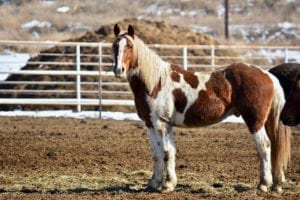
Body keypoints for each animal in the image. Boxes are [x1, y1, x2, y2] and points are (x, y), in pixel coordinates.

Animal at [110, 24, 290, 193]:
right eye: (114, 45)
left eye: (129, 46)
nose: (119, 70)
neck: (155, 83)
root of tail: (267, 75)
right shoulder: (150, 124)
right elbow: (157, 154)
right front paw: (153, 184)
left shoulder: (162, 124)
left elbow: (167, 153)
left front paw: (167, 185)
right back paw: (276, 184)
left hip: (255, 122)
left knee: (265, 147)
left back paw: (264, 184)